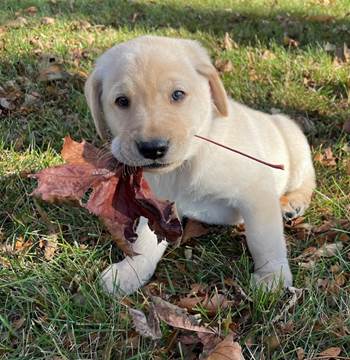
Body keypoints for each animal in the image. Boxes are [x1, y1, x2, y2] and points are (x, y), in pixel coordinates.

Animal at [84, 35, 314, 296]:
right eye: (122, 101)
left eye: (177, 94)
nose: (153, 149)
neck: (189, 162)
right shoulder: (158, 206)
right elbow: (144, 241)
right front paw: (129, 271)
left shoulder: (257, 192)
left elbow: (264, 238)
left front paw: (272, 276)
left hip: (293, 143)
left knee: (307, 180)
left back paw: (293, 203)